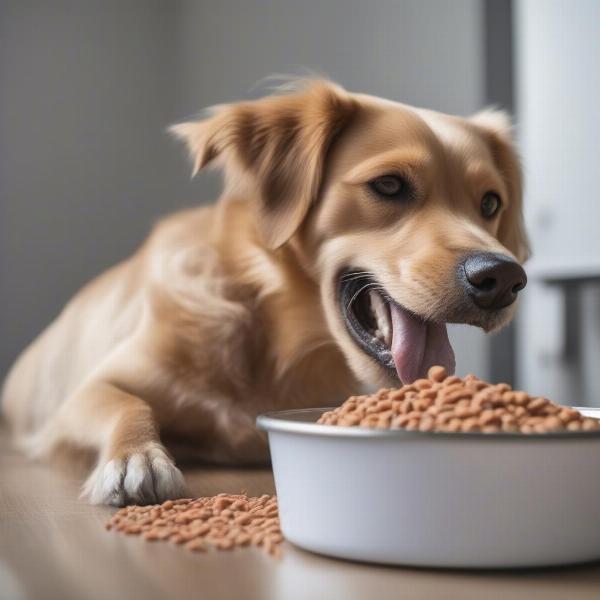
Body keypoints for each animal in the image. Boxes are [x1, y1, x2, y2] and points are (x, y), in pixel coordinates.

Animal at [0, 77, 528, 504]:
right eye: (389, 185)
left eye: (490, 203)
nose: (504, 278)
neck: (272, 340)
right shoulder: (80, 397)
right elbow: (127, 403)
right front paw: (136, 458)